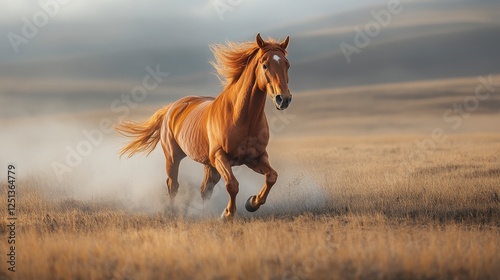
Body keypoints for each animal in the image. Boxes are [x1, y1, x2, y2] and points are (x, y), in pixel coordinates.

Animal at [115, 34, 292, 220]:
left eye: (287, 64)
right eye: (264, 65)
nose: (283, 99)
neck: (243, 118)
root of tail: (172, 107)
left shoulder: (255, 157)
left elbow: (272, 176)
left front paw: (252, 203)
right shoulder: (220, 156)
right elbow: (232, 185)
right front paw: (228, 214)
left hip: (209, 165)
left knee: (204, 189)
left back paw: (203, 212)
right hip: (173, 157)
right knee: (173, 184)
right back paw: (172, 211)